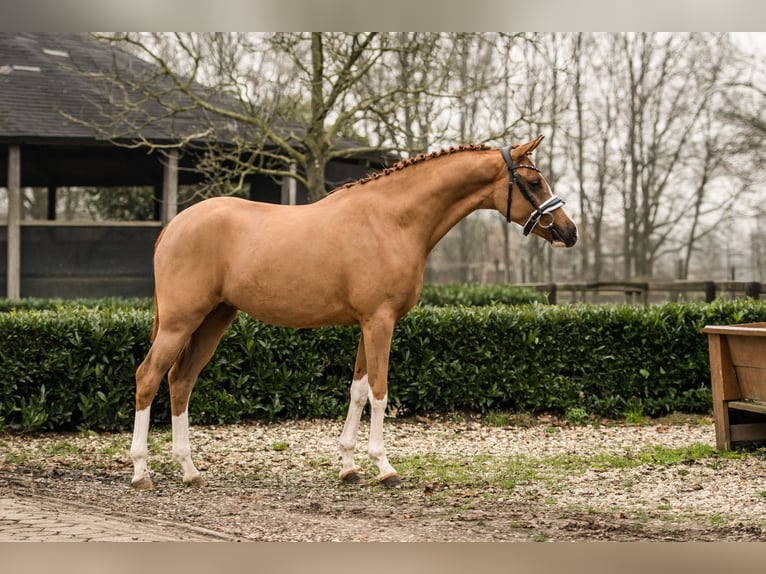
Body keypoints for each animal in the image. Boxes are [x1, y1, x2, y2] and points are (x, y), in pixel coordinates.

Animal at [130, 135, 576, 490]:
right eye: (533, 182)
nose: (569, 232)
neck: (392, 219)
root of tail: (173, 226)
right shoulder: (380, 321)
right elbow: (379, 391)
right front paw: (385, 467)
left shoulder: (367, 324)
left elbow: (358, 391)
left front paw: (348, 466)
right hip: (180, 322)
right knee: (148, 377)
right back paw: (141, 473)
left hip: (213, 320)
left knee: (181, 381)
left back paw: (190, 471)